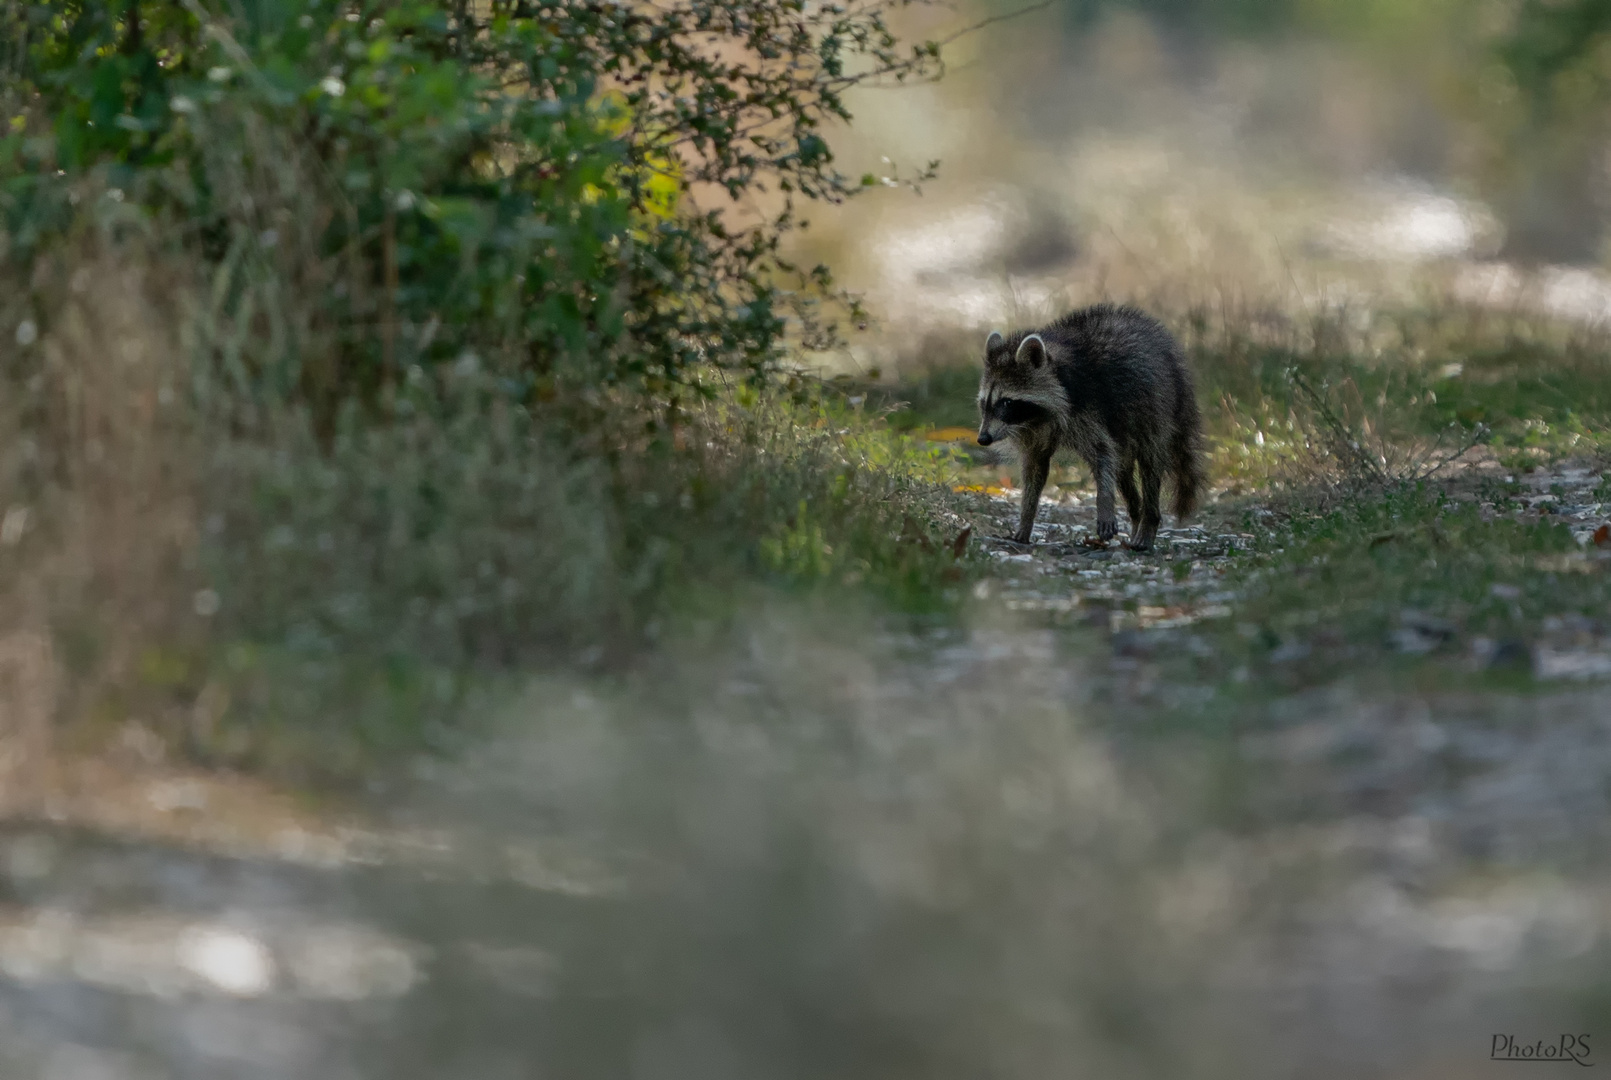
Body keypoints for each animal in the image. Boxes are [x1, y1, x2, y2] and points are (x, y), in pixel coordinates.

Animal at [973, 306, 1205, 554]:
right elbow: (1035, 467)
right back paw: (1136, 515)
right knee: (1123, 470)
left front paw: (1104, 502)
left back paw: (1148, 522)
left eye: (1006, 403)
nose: (983, 438)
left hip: (1157, 405)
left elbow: (1102, 454)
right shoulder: (1032, 429)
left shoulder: (1087, 407)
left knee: (1149, 465)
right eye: (984, 403)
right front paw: (1025, 520)